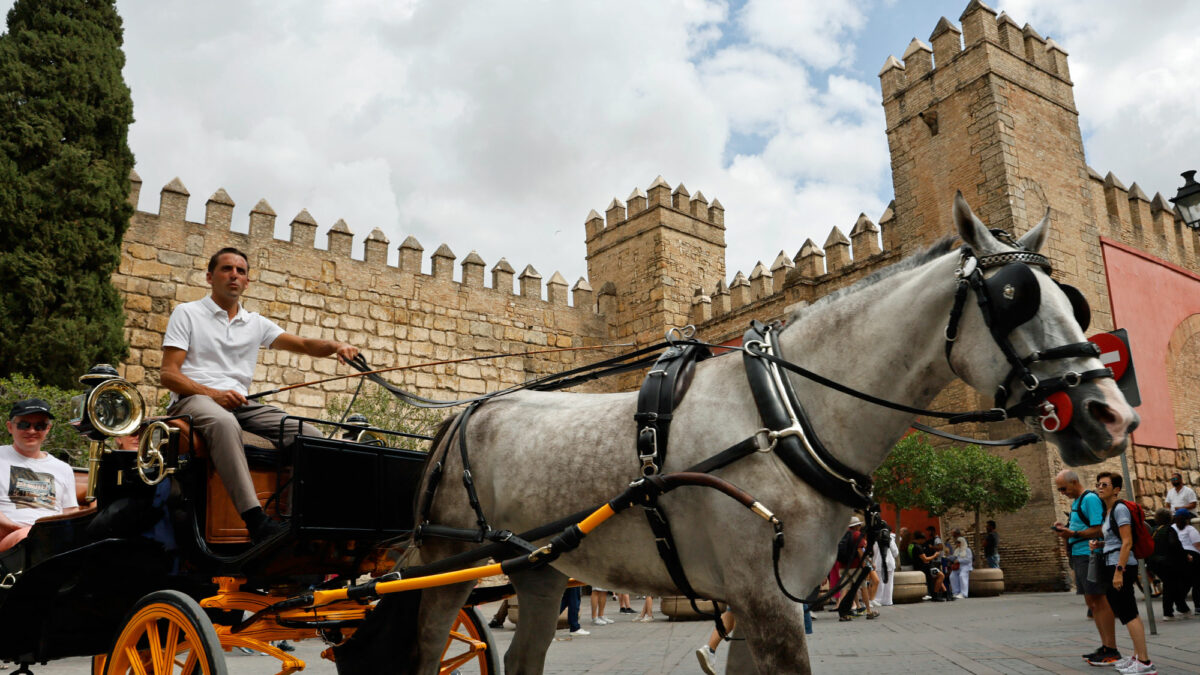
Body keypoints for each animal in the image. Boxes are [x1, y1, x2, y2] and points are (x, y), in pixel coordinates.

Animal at [337, 193, 1139, 674]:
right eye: (1015, 296)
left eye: (1075, 299)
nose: (1113, 415)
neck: (787, 412)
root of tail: (462, 413)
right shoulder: (766, 600)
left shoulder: (762, 601)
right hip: (447, 569)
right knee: (427, 648)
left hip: (538, 570)